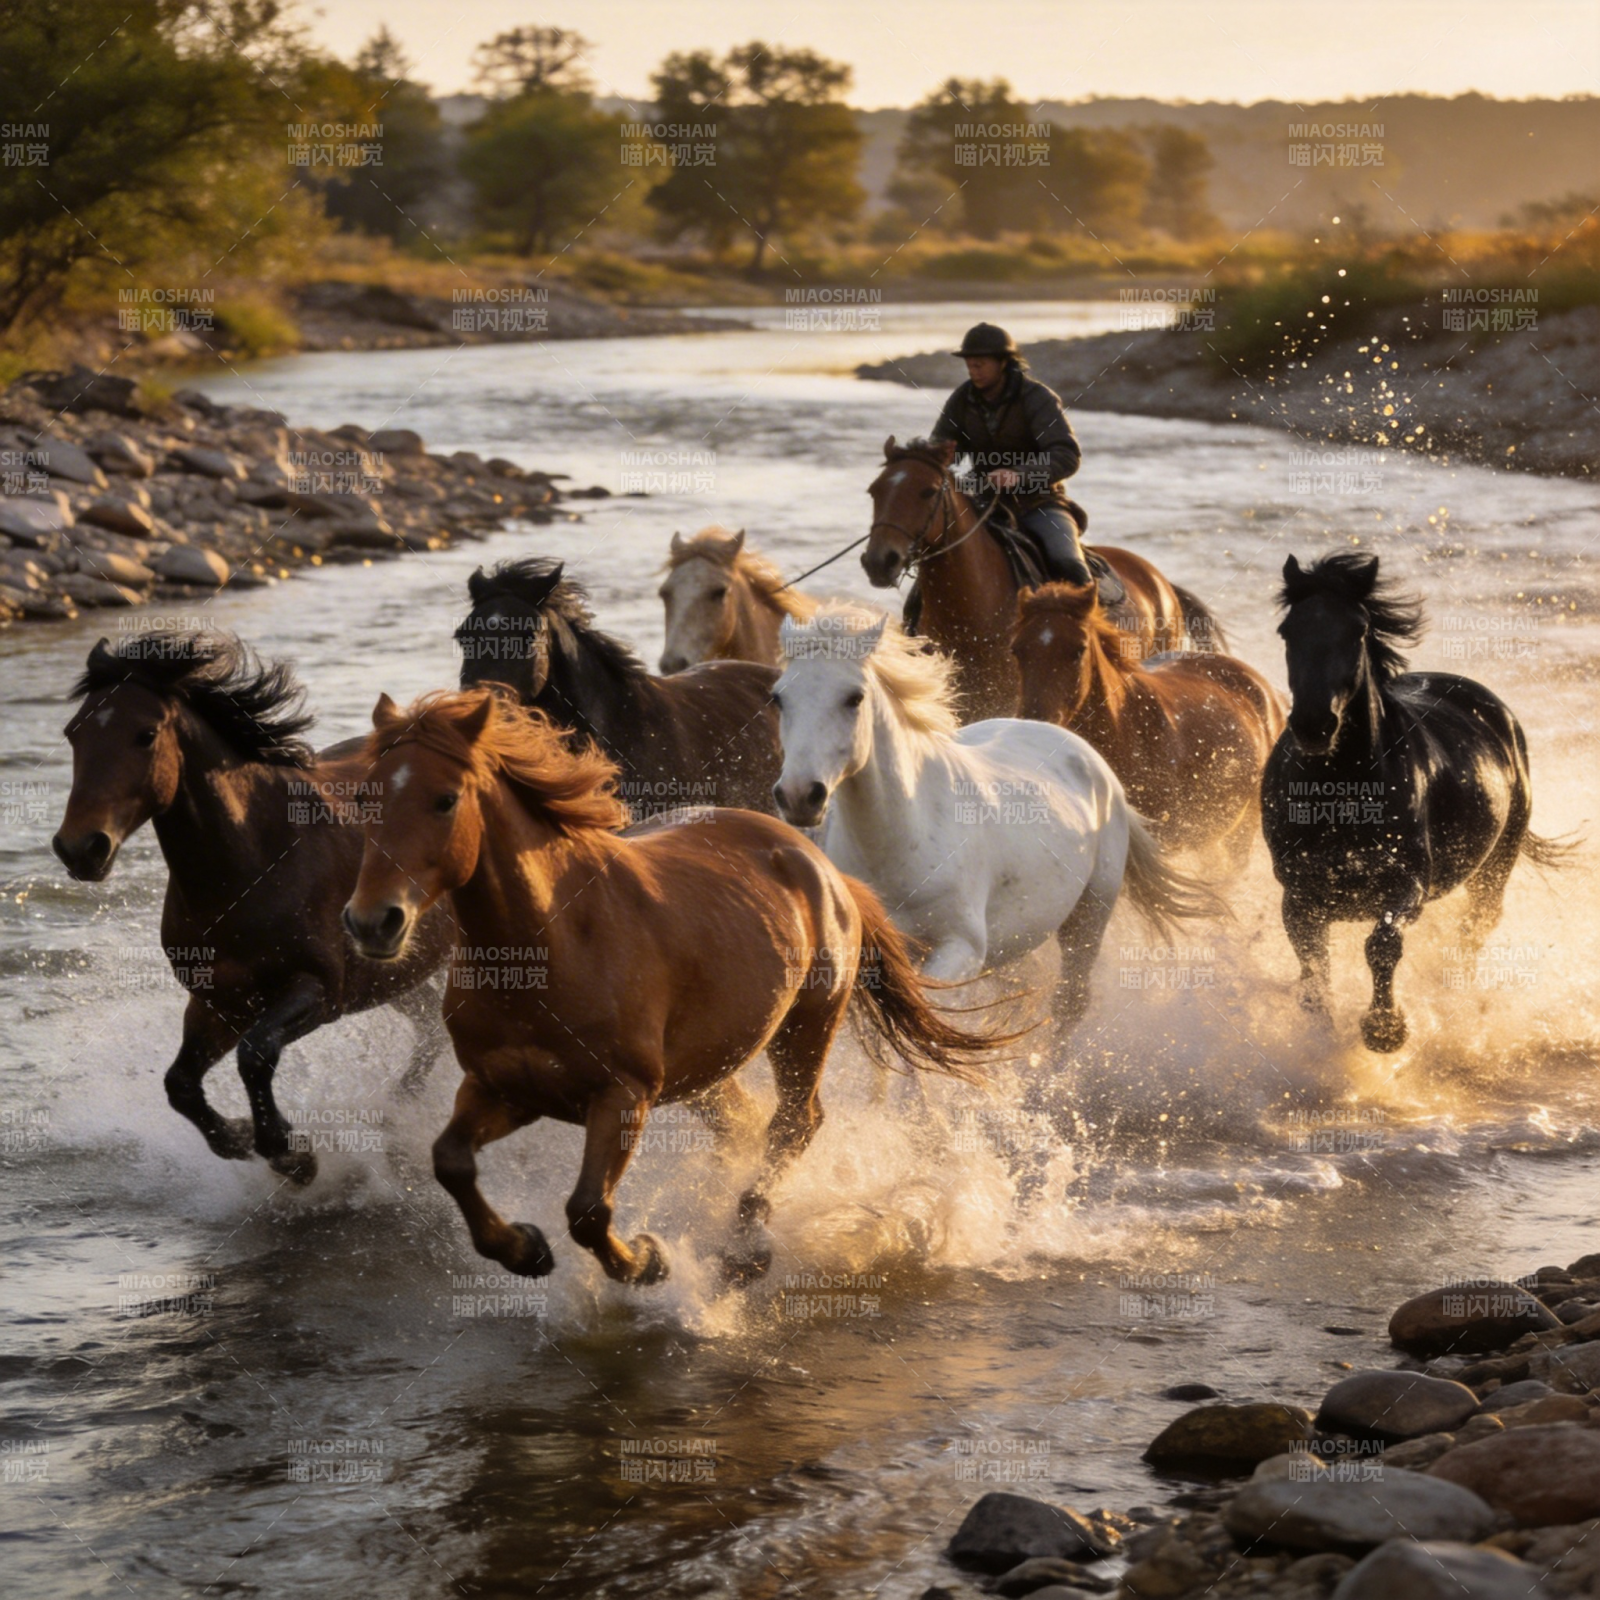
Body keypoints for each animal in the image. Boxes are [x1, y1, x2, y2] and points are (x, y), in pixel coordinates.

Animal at [51, 632, 453, 1181]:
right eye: (74, 732)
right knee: (431, 1024)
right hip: (394, 974)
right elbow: (179, 1083)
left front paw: (291, 1153)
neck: (252, 868)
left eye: (146, 734)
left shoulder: (318, 989)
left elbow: (255, 1055)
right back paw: (400, 1103)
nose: (79, 848)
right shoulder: (219, 1002)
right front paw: (240, 1137)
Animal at [340, 688, 1000, 1286]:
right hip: (706, 1068)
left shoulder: (621, 1096)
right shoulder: (504, 1088)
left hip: (806, 1025)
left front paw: (647, 1261)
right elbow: (449, 1162)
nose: (373, 921)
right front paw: (525, 1248)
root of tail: (824, 869)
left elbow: (587, 1210)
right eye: (364, 797)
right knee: (746, 1123)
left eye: (445, 799)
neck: (549, 947)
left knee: (794, 1122)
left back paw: (743, 1247)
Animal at [771, 605, 1222, 1029]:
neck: (901, 838)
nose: (798, 794)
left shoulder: (961, 950)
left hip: (1089, 918)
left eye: (854, 697)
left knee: (1070, 1005)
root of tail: (1097, 766)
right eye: (778, 698)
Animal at [1013, 582, 1286, 864]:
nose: (1034, 721)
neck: (1127, 731)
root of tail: (1268, 693)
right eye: (1017, 649)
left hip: (1242, 831)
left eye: (1078, 650)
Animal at [1263, 552, 1571, 1052]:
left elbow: (1382, 944)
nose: (1314, 725)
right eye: (1288, 630)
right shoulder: (1299, 898)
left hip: (1494, 866)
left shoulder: (1407, 884)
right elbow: (1314, 974)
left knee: (1474, 930)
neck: (1339, 795)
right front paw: (1322, 1034)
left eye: (1358, 631)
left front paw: (1385, 1029)